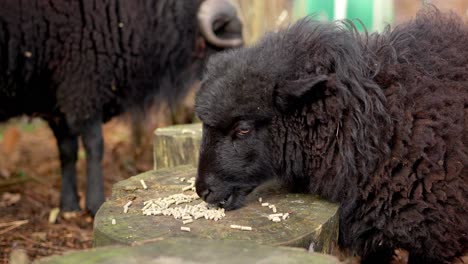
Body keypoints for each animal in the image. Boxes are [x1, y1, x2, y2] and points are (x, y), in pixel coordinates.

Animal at [0, 0, 241, 214]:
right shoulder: (84, 85)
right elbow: (94, 146)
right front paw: (95, 203)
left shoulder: (58, 98)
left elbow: (67, 151)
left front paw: (69, 206)